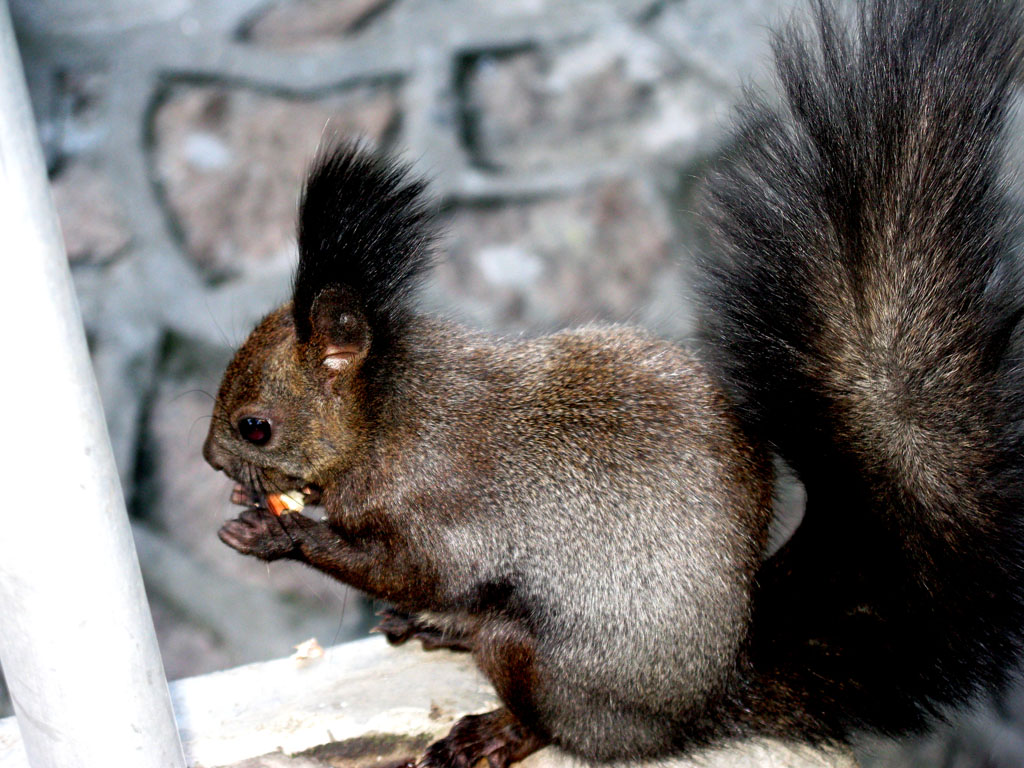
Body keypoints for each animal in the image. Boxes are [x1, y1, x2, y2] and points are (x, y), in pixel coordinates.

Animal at [201, 0, 1024, 765]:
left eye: (255, 426)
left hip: (533, 656)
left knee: (546, 719)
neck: (384, 414)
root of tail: (701, 703)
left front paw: (279, 534)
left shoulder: (438, 507)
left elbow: (407, 569)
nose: (211, 461)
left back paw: (492, 728)